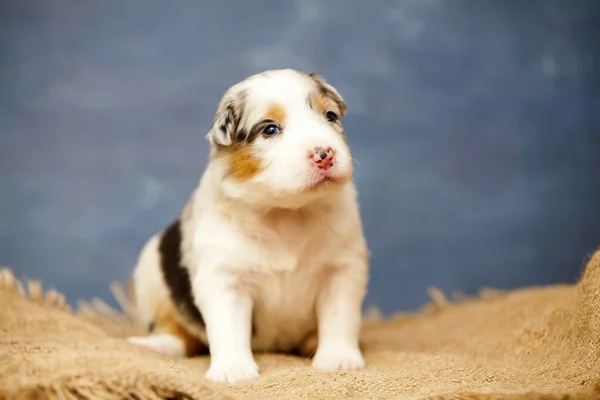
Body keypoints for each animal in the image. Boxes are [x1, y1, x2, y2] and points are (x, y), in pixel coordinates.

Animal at [129, 69, 368, 384]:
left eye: (330, 116)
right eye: (270, 129)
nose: (324, 153)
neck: (286, 212)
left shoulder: (342, 270)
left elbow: (339, 317)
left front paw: (339, 359)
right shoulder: (225, 278)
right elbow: (229, 327)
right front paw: (233, 370)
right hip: (150, 279)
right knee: (174, 330)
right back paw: (159, 345)